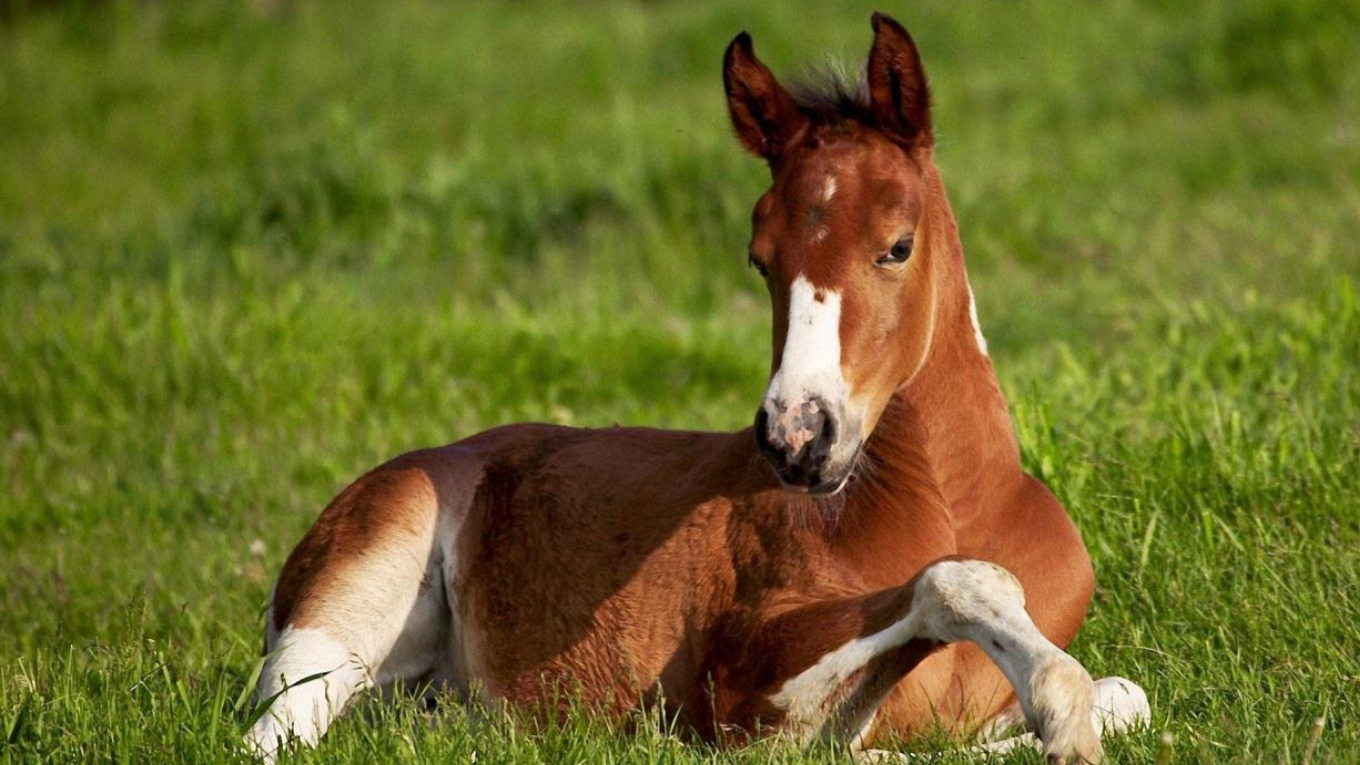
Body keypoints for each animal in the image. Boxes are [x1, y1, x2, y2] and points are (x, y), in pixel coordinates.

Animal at [247, 13, 1147, 762]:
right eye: (760, 258)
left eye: (897, 244)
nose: (797, 435)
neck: (953, 504)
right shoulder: (740, 688)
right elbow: (951, 586)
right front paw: (1060, 716)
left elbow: (1126, 694)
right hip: (345, 604)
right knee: (272, 734)